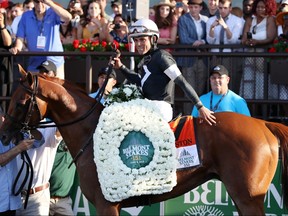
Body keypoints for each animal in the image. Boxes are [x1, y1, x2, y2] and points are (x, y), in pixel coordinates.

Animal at [0, 66, 288, 215]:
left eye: (22, 102)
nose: (4, 133)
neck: (91, 132)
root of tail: (263, 124)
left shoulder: (107, 205)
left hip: (248, 197)